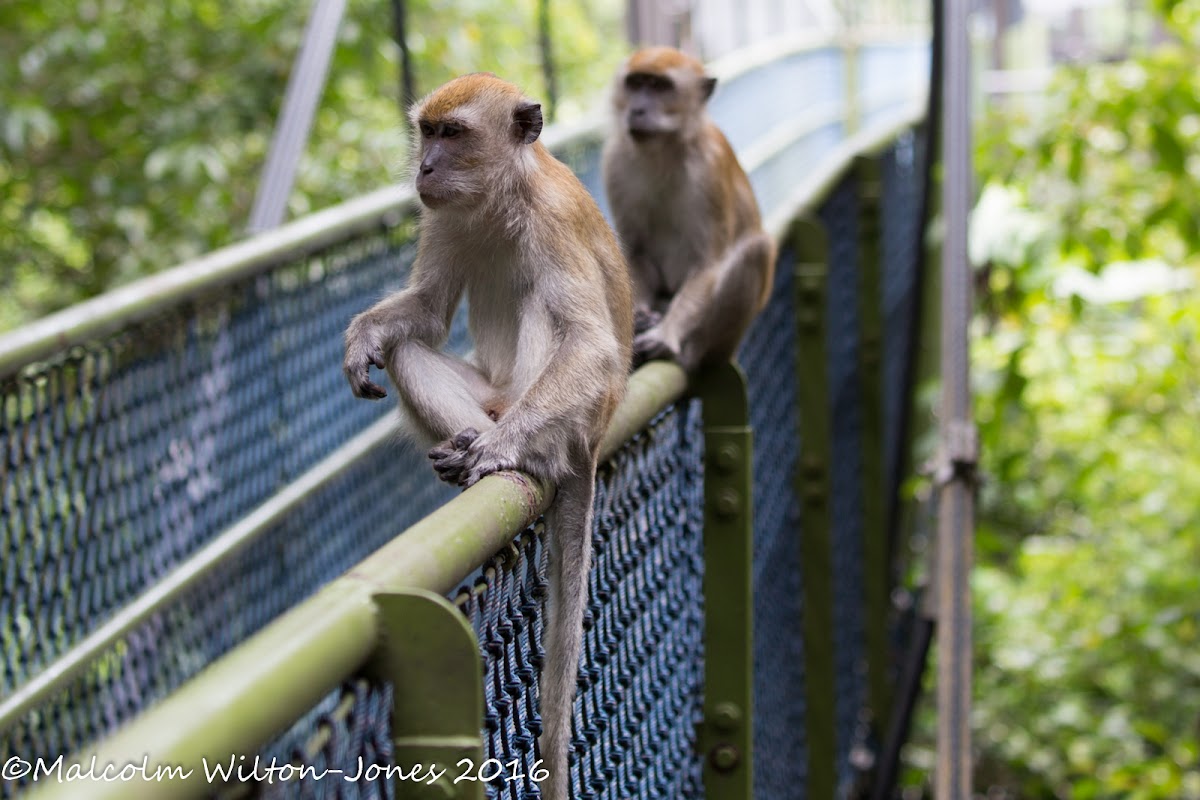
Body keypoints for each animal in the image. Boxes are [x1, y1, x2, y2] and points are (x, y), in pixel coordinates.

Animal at [343, 73, 633, 800]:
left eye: (454, 134)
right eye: (427, 132)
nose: (424, 167)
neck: (505, 198)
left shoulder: (553, 224)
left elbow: (588, 343)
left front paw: (503, 454)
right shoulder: (443, 214)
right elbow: (423, 314)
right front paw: (363, 336)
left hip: (572, 415)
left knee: (548, 315)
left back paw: (517, 453)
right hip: (493, 396)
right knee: (409, 349)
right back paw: (463, 451)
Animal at [600, 48, 777, 374]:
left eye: (660, 87)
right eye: (636, 83)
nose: (638, 109)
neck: (662, 152)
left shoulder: (709, 168)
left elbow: (707, 263)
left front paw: (665, 333)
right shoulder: (615, 161)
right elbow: (635, 254)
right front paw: (641, 318)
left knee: (756, 250)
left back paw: (690, 356)